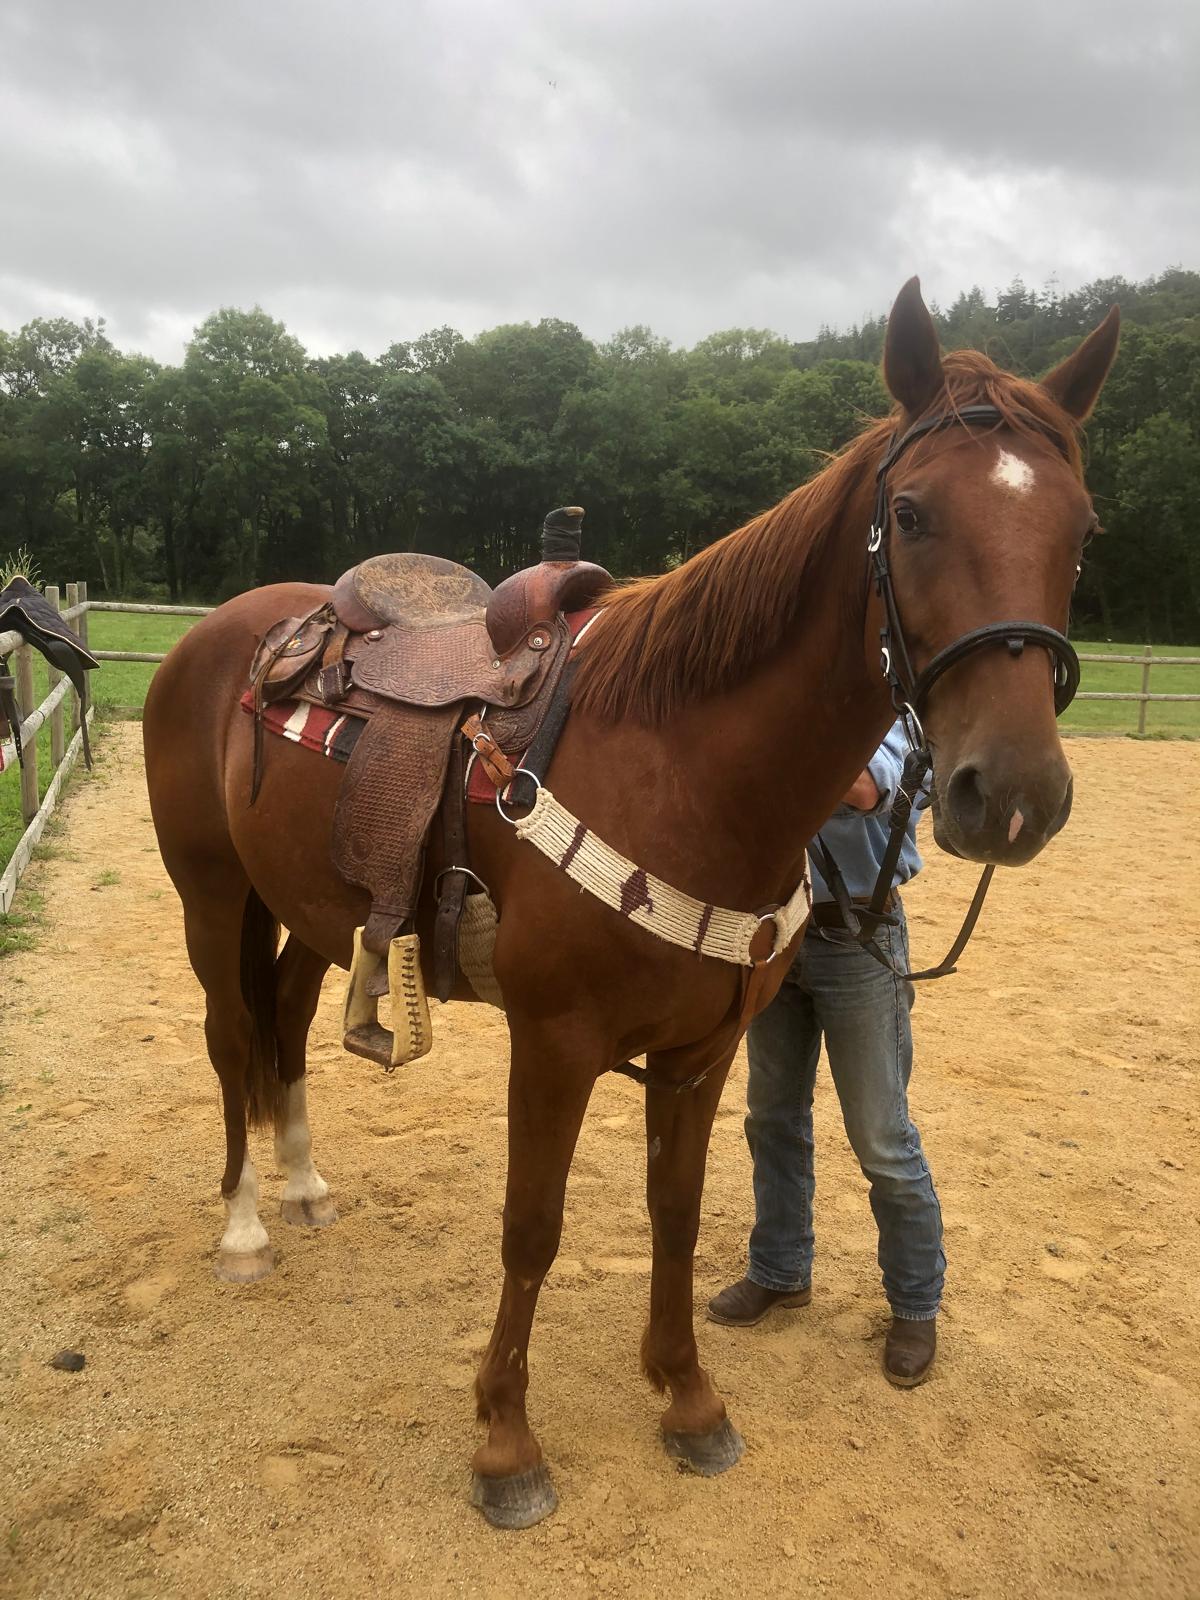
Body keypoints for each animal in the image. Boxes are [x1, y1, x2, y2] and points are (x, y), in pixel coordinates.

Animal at [142, 279, 1119, 1528]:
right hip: (212, 898)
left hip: (314, 911)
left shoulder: (702, 1053)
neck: (679, 766)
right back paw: (244, 1228)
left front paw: (689, 1400)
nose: (1015, 794)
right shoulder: (554, 1043)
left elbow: (677, 1212)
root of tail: (228, 632)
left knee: (286, 1021)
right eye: (910, 513)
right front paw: (506, 1444)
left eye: (1082, 533)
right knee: (230, 1039)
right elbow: (531, 1229)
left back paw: (305, 1183)